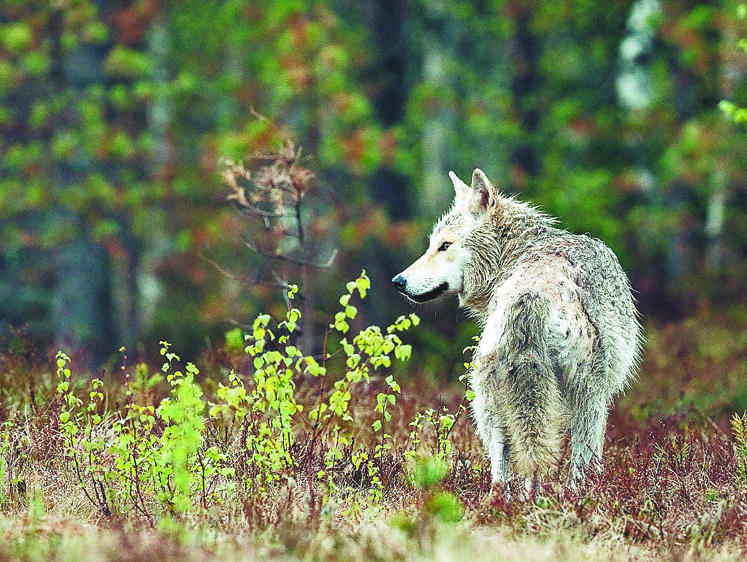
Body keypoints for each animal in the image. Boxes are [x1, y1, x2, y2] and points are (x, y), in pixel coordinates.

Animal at [392, 167, 644, 482]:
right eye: (432, 246)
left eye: (444, 246)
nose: (398, 281)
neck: (514, 253)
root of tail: (530, 297)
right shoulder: (600, 393)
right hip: (583, 395)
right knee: (570, 464)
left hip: (493, 398)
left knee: (506, 466)